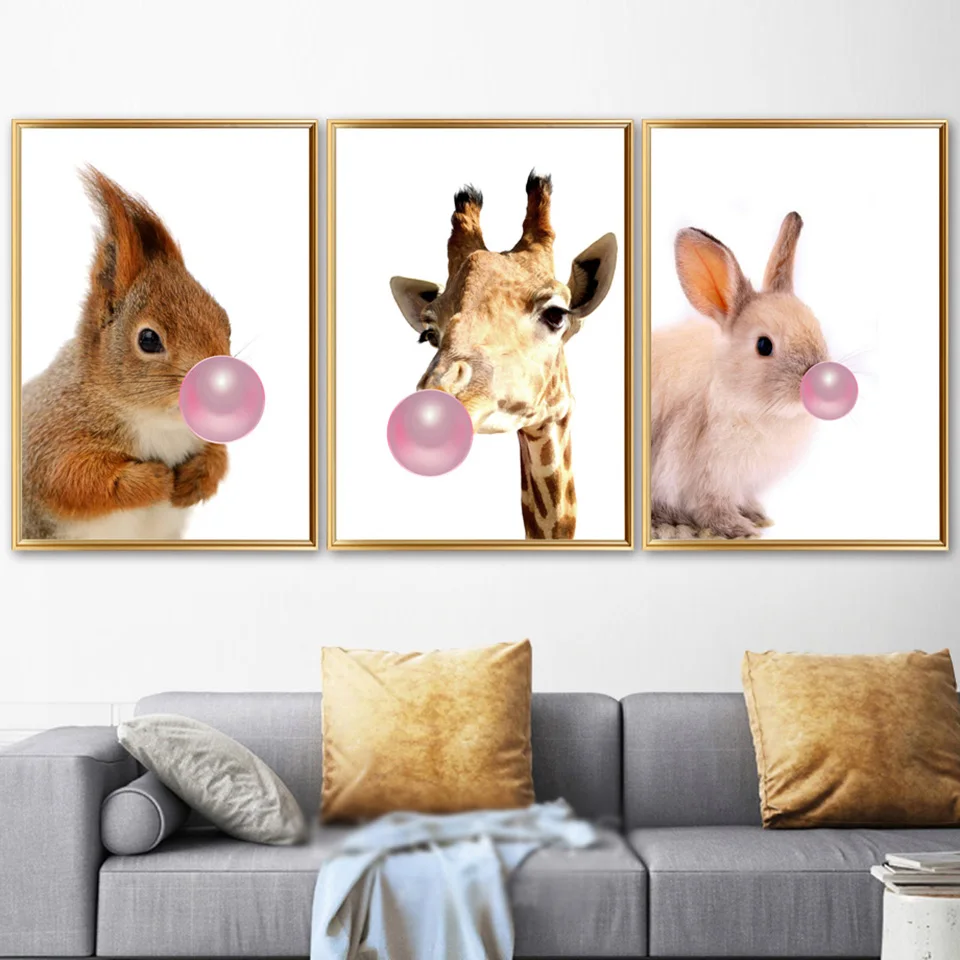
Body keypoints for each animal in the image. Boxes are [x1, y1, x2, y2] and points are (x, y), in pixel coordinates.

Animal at [21, 168, 231, 540]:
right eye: (148, 339)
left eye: (225, 320)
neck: (157, 423)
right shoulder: (49, 443)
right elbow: (75, 481)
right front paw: (155, 479)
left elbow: (218, 455)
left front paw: (197, 477)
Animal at [650, 212, 829, 540]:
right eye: (764, 345)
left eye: (817, 328)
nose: (815, 380)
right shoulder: (706, 478)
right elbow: (713, 510)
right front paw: (741, 529)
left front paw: (757, 516)